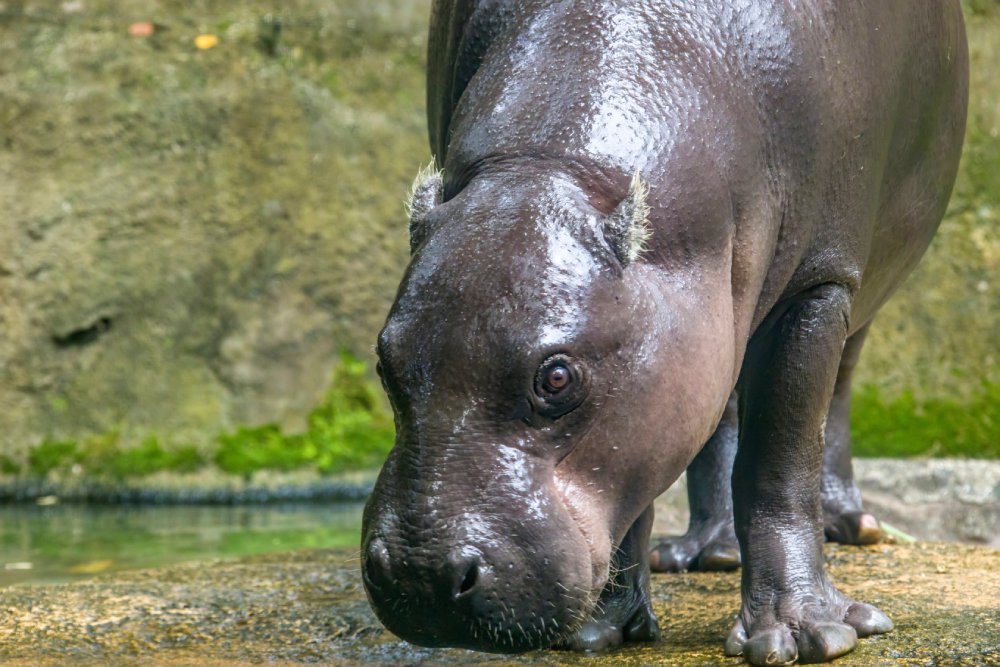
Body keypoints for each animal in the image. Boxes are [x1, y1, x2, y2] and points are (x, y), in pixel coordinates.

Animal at [361, 1, 968, 664]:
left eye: (556, 378)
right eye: (384, 364)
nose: (420, 577)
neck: (554, 167)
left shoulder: (819, 281)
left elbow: (779, 460)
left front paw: (807, 636)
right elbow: (640, 471)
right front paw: (602, 630)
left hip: (864, 275)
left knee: (838, 385)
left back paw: (849, 526)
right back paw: (712, 551)